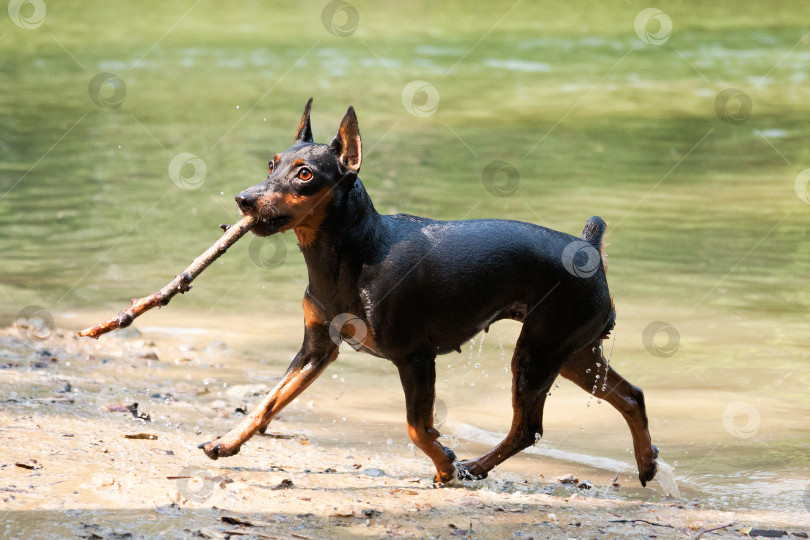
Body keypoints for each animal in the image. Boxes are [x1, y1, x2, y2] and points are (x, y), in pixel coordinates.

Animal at [200, 100, 656, 486]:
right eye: (271, 164)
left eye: (305, 174)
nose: (245, 200)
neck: (351, 253)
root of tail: (588, 246)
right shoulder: (318, 348)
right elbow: (270, 401)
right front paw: (226, 441)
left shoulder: (415, 357)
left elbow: (417, 428)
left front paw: (445, 465)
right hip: (573, 353)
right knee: (630, 396)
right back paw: (646, 463)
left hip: (539, 353)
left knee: (528, 428)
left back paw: (472, 467)